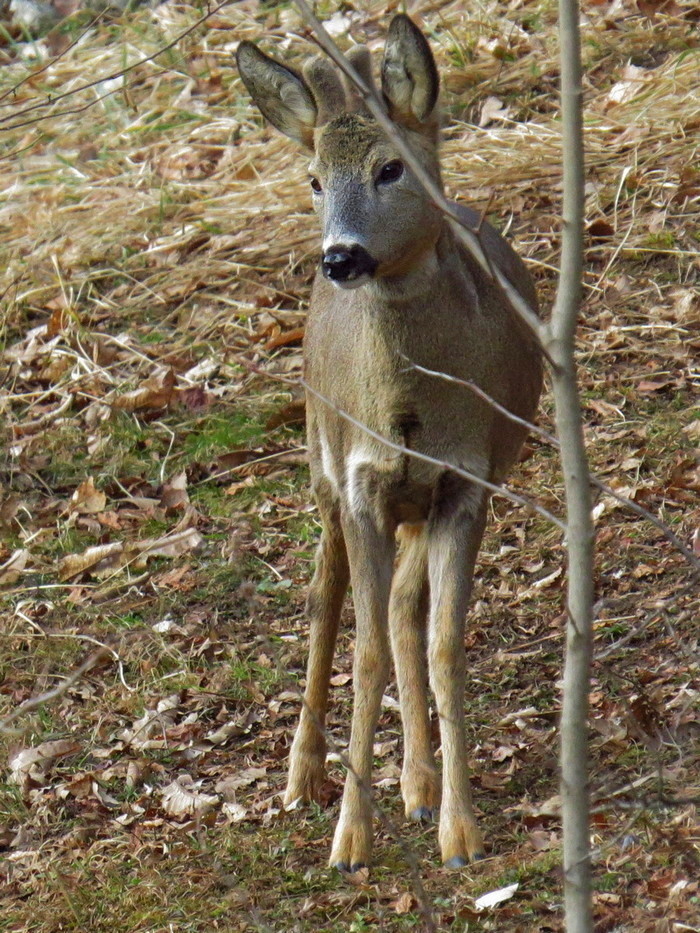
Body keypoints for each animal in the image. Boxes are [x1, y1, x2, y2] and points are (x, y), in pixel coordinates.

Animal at [238, 14, 544, 872]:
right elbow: (364, 649)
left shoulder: (468, 480)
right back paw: (302, 775)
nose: (340, 256)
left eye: (389, 168)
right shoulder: (361, 481)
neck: (409, 408)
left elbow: (441, 643)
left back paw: (419, 783)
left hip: (422, 496)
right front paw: (349, 840)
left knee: (406, 606)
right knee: (324, 595)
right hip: (320, 459)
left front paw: (460, 832)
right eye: (313, 179)